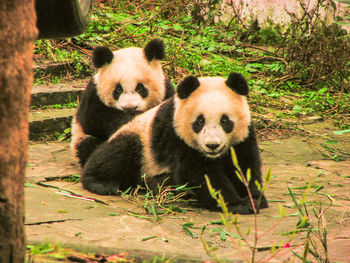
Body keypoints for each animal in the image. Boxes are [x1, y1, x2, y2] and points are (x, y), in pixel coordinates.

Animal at [71, 38, 175, 167]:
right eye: (118, 90)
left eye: (140, 88)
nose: (129, 107)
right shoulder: (94, 93)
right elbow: (94, 119)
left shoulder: (166, 90)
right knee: (88, 144)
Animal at [82, 72, 268, 214]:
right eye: (200, 121)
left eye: (225, 120)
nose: (212, 145)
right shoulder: (177, 135)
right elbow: (200, 174)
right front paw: (238, 204)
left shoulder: (244, 136)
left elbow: (245, 165)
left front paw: (255, 197)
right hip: (139, 141)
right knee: (119, 154)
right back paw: (101, 183)